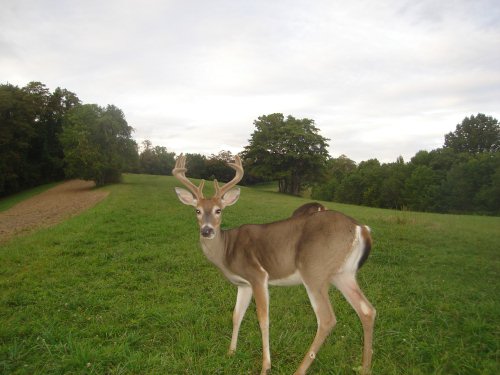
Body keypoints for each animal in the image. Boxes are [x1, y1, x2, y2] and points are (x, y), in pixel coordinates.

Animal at [172, 154, 376, 374]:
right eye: (197, 211)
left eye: (219, 210)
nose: (207, 230)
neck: (227, 251)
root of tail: (361, 228)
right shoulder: (243, 284)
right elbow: (236, 315)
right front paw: (230, 352)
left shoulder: (258, 275)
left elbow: (263, 319)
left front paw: (265, 366)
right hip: (343, 273)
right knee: (367, 310)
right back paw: (365, 368)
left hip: (314, 270)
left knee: (327, 319)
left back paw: (299, 370)